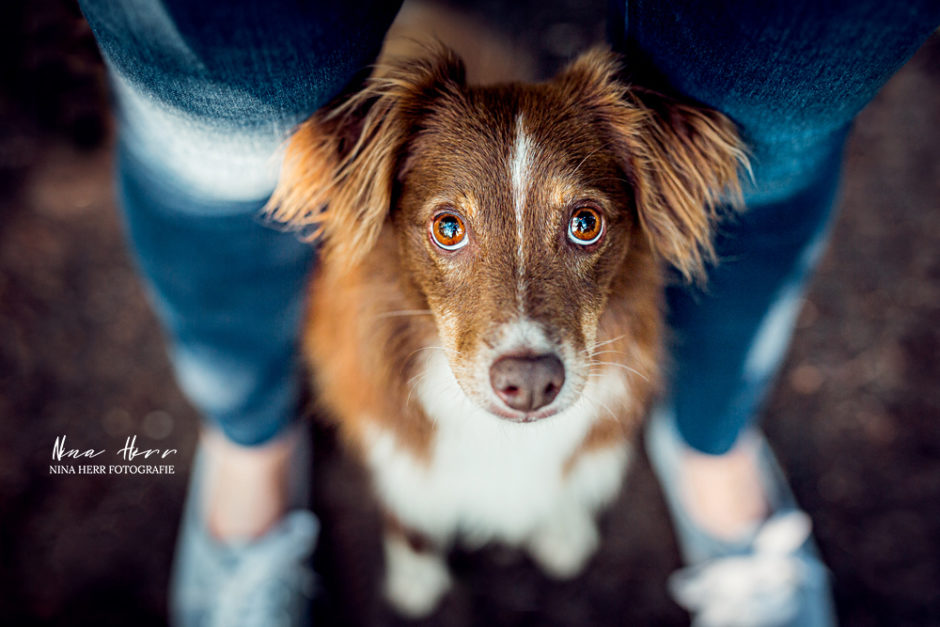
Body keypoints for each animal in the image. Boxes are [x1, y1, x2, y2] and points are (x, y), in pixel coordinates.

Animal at [268, 43, 744, 620]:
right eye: (448, 228)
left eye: (586, 223)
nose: (532, 382)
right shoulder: (395, 445)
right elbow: (411, 509)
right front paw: (416, 577)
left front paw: (563, 528)